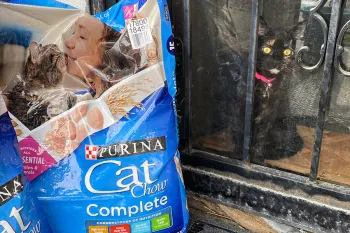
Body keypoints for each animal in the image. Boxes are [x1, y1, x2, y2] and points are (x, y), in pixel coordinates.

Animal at [252, 17, 306, 161]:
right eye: (267, 49)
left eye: (286, 51)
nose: (276, 62)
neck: (267, 83)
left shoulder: (269, 114)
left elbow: (260, 137)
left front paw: (256, 156)